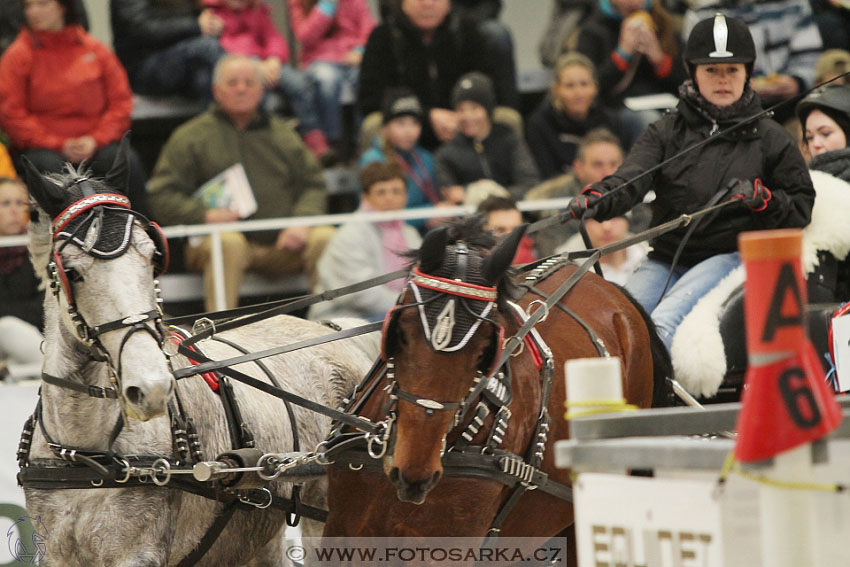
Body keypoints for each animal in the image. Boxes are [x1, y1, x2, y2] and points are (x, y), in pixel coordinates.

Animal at [16, 143, 372, 567]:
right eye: (72, 271)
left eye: (153, 257)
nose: (151, 387)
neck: (85, 453)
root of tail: (333, 331)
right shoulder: (55, 552)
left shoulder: (138, 554)